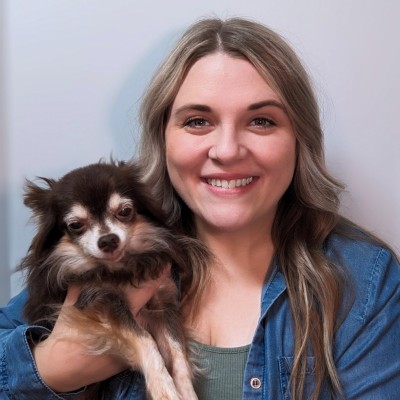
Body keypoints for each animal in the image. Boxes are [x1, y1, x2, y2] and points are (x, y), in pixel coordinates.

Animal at [19, 161, 207, 400]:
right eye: (75, 225)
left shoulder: (163, 303)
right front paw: (163, 388)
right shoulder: (101, 301)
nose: (108, 240)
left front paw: (186, 391)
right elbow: (145, 339)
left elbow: (177, 352)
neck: (119, 270)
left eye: (125, 211)